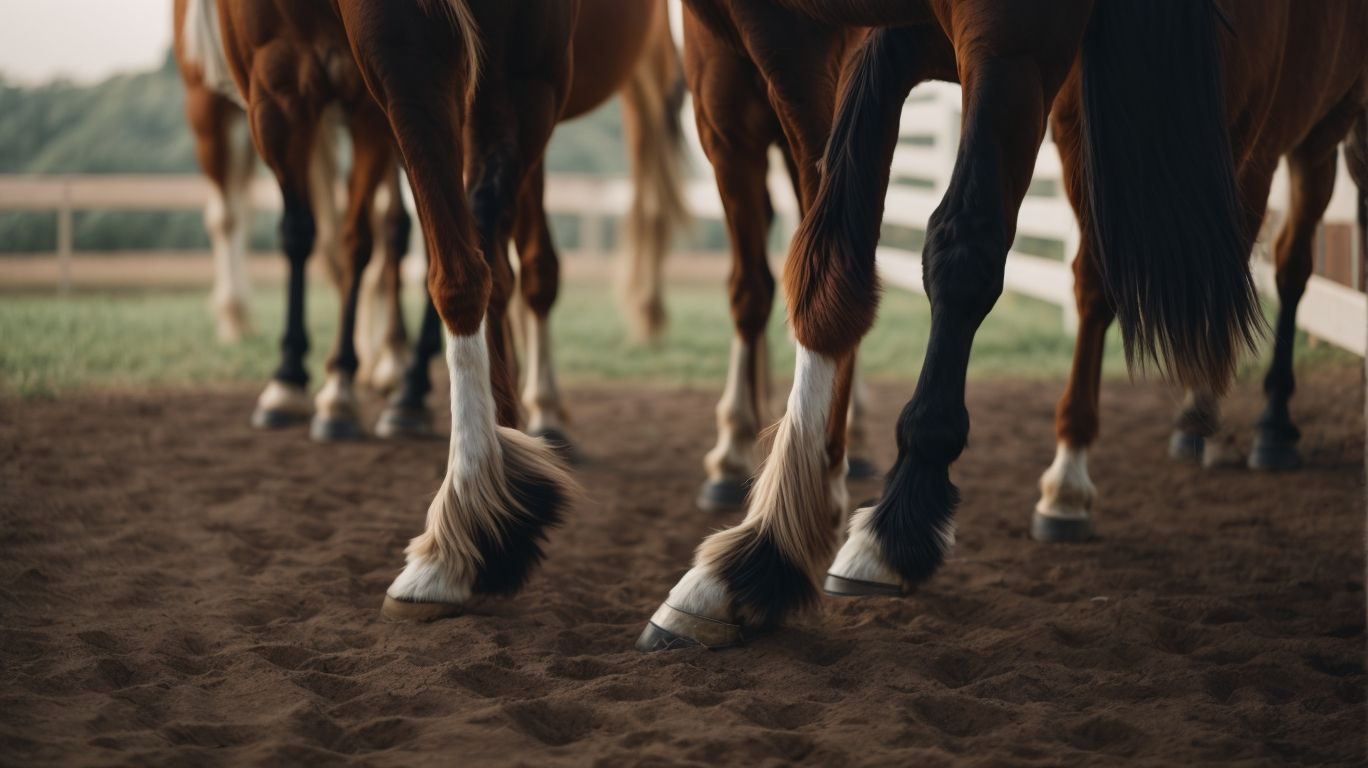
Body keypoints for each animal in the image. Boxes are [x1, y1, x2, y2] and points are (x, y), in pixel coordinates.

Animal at [177, 0, 415, 439]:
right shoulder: (276, 91)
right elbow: (298, 233)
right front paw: (288, 380)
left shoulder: (374, 102)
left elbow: (360, 238)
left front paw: (342, 385)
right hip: (209, 104)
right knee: (229, 216)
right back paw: (235, 317)